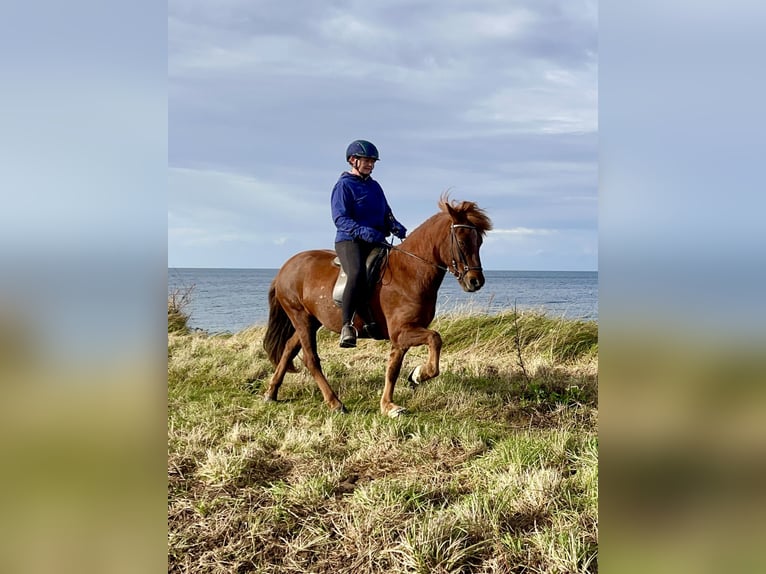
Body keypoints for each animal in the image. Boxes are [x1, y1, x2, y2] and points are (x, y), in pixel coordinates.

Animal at [262, 194, 493, 417]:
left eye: (479, 242)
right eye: (462, 241)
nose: (476, 281)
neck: (410, 272)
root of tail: (285, 268)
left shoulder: (401, 336)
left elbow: (393, 369)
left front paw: (390, 403)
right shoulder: (402, 331)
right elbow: (435, 338)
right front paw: (419, 375)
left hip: (311, 321)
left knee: (289, 348)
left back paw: (271, 393)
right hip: (300, 316)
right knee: (311, 359)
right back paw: (335, 403)